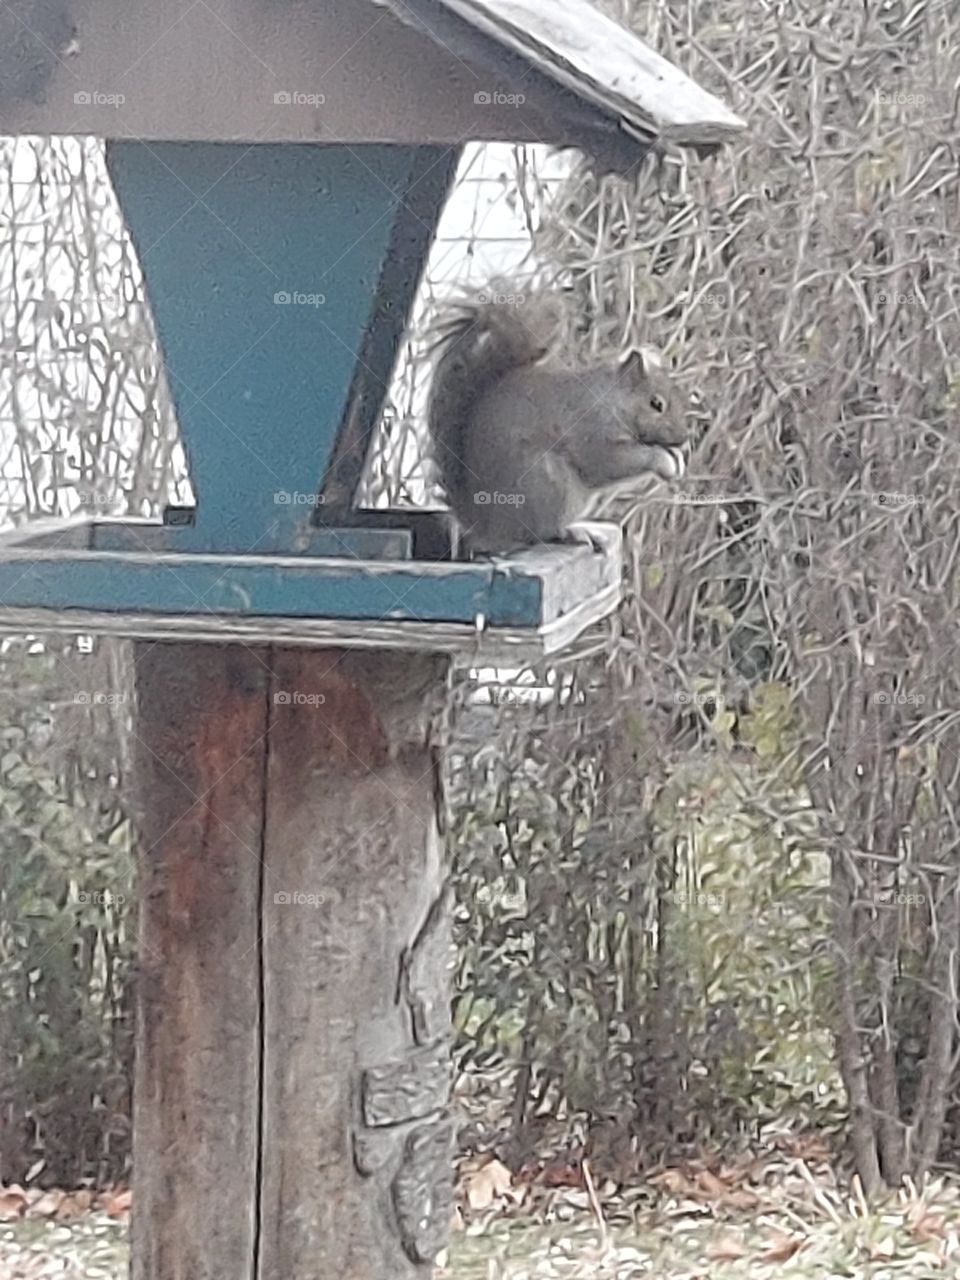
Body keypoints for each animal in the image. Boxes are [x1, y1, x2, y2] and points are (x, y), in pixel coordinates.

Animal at [427, 289, 688, 556]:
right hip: (548, 482)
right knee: (539, 534)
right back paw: (571, 534)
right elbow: (610, 463)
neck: (611, 399)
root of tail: (482, 523)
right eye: (656, 404)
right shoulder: (592, 432)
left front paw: (677, 459)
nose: (683, 437)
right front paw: (663, 461)